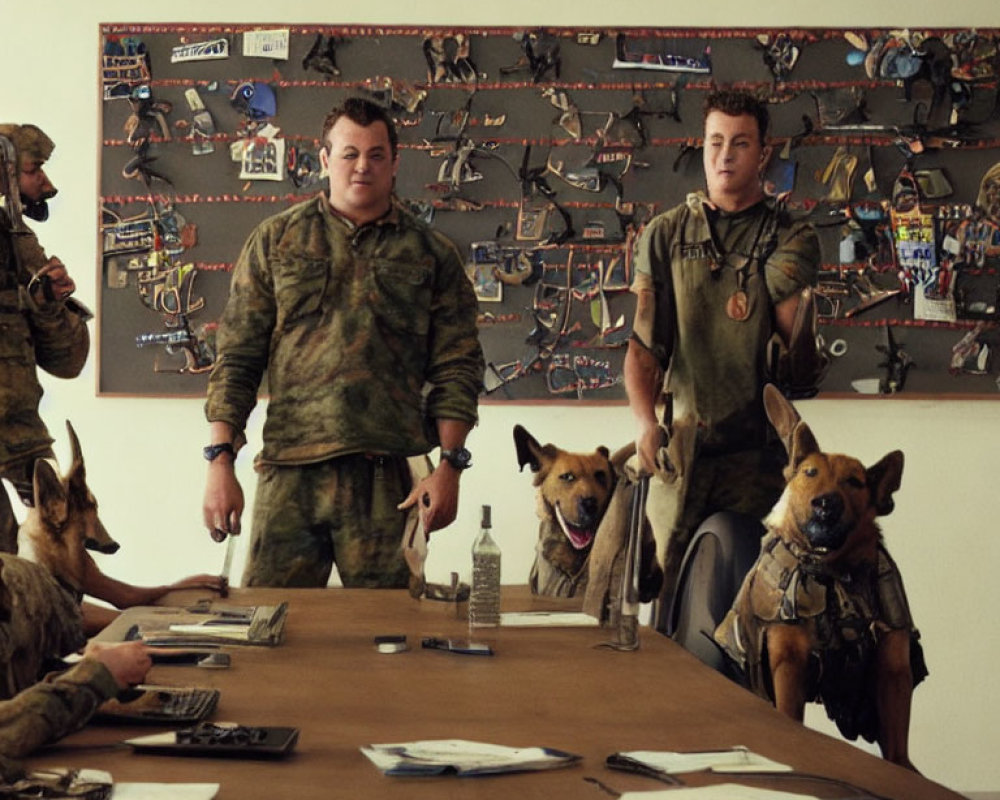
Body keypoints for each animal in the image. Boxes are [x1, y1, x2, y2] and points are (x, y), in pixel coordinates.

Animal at [716, 384, 924, 772]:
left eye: (854, 482)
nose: (827, 503)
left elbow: (897, 747)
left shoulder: (893, 668)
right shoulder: (788, 663)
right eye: (810, 473)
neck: (833, 572)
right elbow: (788, 714)